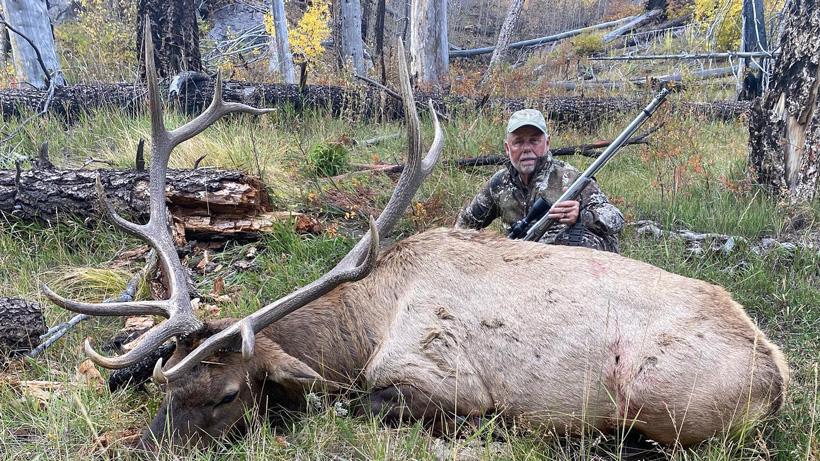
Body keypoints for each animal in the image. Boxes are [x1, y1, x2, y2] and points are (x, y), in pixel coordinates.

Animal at [42, 26, 789, 450]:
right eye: (166, 389)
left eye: (226, 394)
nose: (142, 447)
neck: (363, 326)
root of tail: (779, 375)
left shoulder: (445, 382)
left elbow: (366, 407)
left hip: (659, 396)